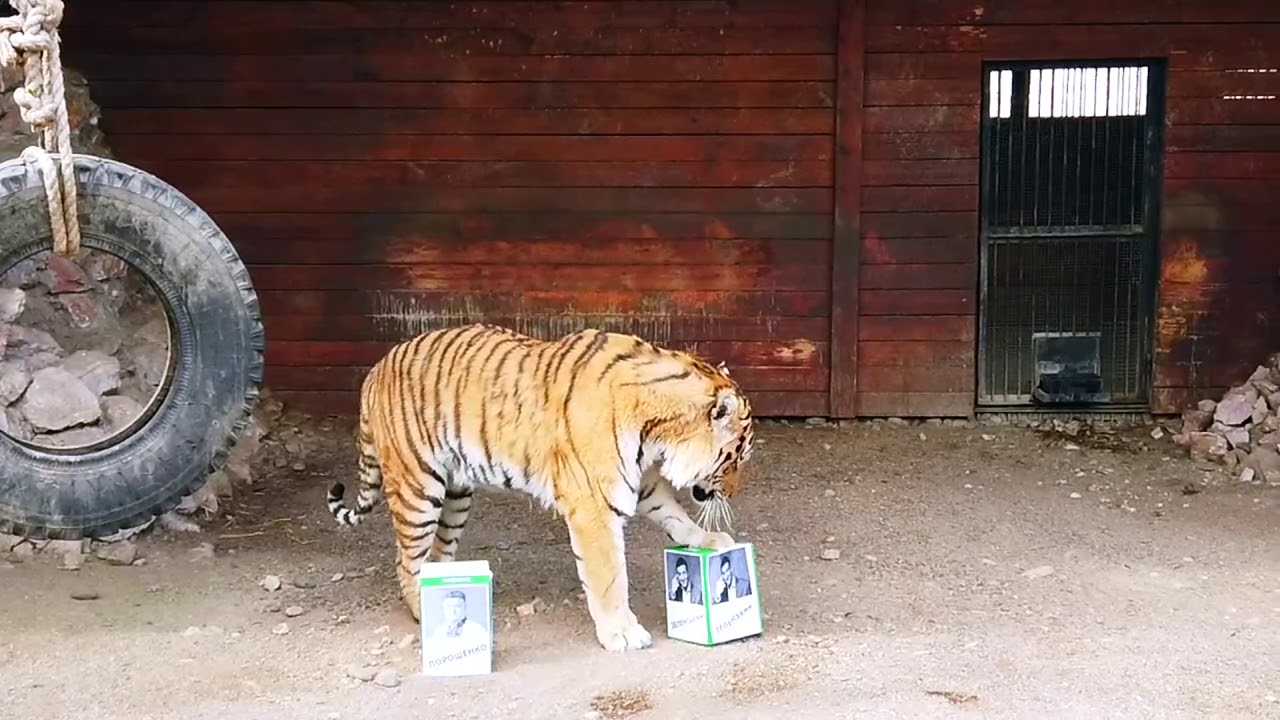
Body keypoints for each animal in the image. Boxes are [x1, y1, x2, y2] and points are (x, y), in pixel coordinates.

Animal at [324, 323, 756, 652]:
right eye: (735, 458)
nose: (734, 493)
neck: (657, 431)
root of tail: (375, 368)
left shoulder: (642, 483)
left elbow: (676, 516)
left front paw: (711, 540)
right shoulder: (594, 506)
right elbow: (609, 577)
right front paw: (622, 632)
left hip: (456, 495)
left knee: (437, 554)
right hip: (418, 490)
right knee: (407, 562)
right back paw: (423, 611)